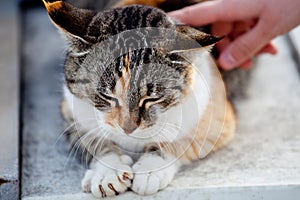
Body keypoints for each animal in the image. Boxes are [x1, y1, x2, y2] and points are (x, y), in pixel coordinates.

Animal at [43, 0, 236, 197]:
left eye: (152, 98)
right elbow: (95, 141)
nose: (127, 129)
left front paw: (150, 170)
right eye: (106, 95)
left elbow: (178, 141)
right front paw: (108, 171)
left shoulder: (216, 118)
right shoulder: (73, 113)